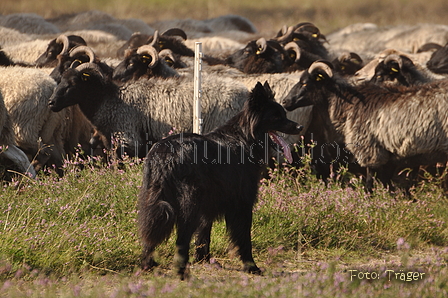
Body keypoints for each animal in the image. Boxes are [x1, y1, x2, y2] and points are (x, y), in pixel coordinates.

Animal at [138, 80, 302, 278]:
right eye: (276, 117)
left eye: (284, 115)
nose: (300, 127)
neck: (246, 137)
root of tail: (164, 153)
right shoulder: (242, 203)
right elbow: (244, 238)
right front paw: (251, 267)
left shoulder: (208, 205)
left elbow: (203, 235)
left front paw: (203, 260)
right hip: (188, 204)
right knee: (181, 239)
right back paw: (180, 272)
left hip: (156, 200)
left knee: (150, 231)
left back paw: (148, 264)